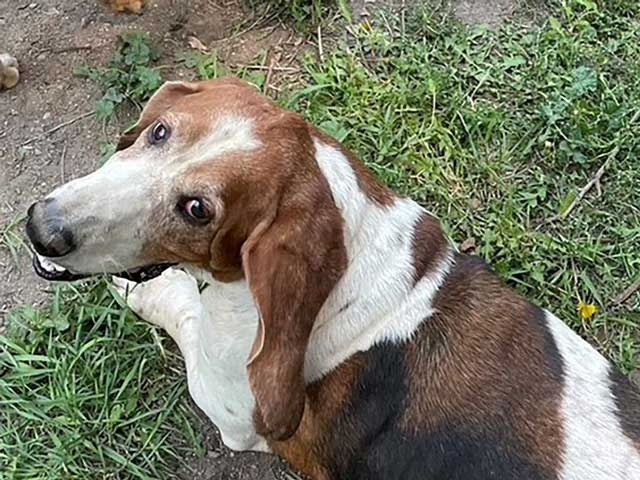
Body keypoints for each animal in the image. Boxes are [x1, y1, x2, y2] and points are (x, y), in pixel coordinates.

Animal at [26, 77, 640, 478]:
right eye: (158, 131)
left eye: (198, 210)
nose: (42, 229)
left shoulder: (231, 405)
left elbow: (184, 310)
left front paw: (147, 287)